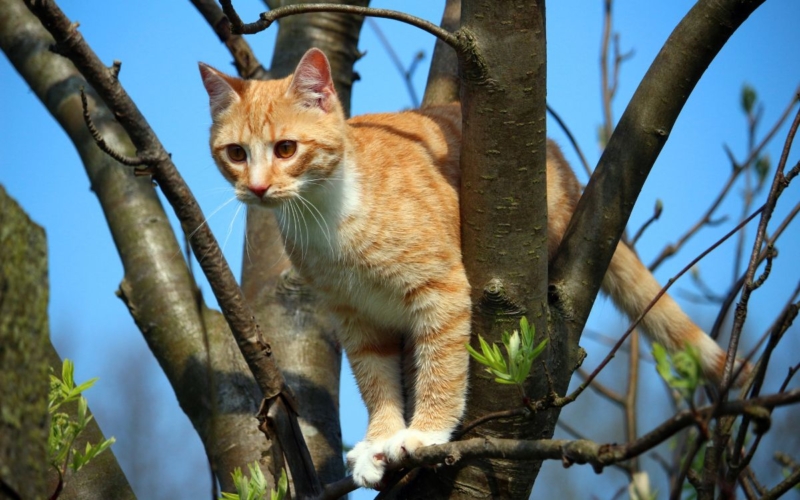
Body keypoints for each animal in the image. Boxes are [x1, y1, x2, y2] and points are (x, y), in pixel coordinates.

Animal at [198, 47, 744, 488]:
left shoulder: (439, 289)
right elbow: (375, 380)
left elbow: (442, 366)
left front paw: (423, 434)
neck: (326, 216)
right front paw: (379, 440)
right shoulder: (356, 318)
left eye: (286, 148)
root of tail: (565, 167)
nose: (258, 187)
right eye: (236, 154)